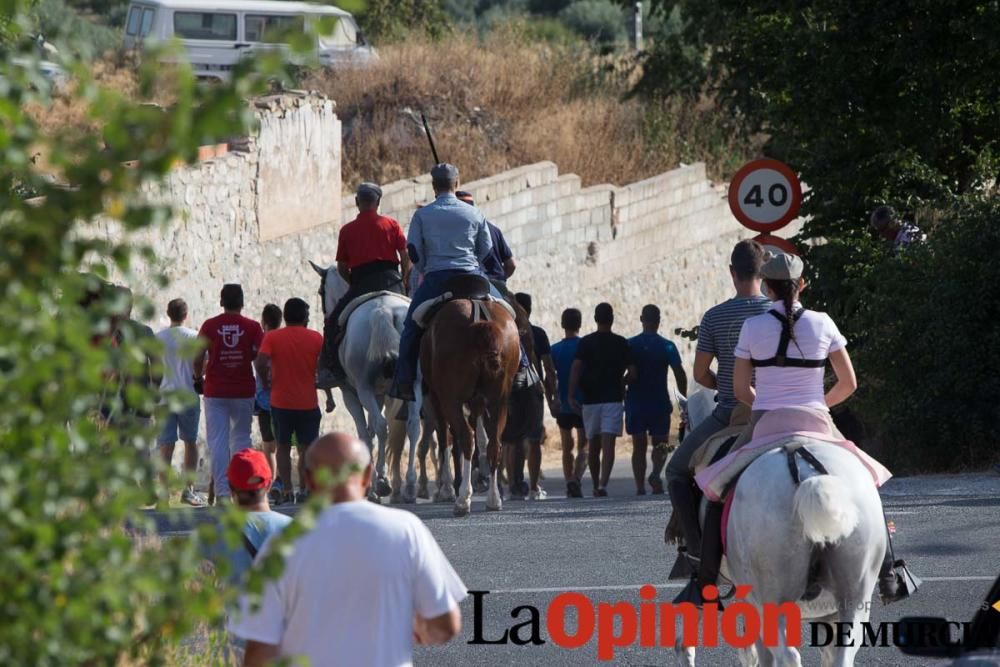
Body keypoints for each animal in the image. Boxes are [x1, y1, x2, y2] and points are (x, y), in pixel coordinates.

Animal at [310, 260, 424, 500]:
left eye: (321, 292)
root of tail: (383, 311)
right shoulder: (379, 393)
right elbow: (373, 429)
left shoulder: (350, 394)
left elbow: (365, 432)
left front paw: (372, 482)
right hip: (413, 385)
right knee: (412, 426)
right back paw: (410, 485)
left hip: (363, 389)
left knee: (381, 427)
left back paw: (378, 486)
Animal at [418, 298, 520, 516]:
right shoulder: (478, 402)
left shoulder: (437, 398)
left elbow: (445, 439)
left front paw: (446, 489)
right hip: (500, 400)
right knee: (494, 443)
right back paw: (493, 499)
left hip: (450, 400)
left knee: (466, 437)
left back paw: (463, 499)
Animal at [676, 404, 888, 664]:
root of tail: (808, 473)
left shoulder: (751, 600)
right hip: (856, 593)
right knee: (845, 650)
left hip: (770, 595)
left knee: (787, 654)